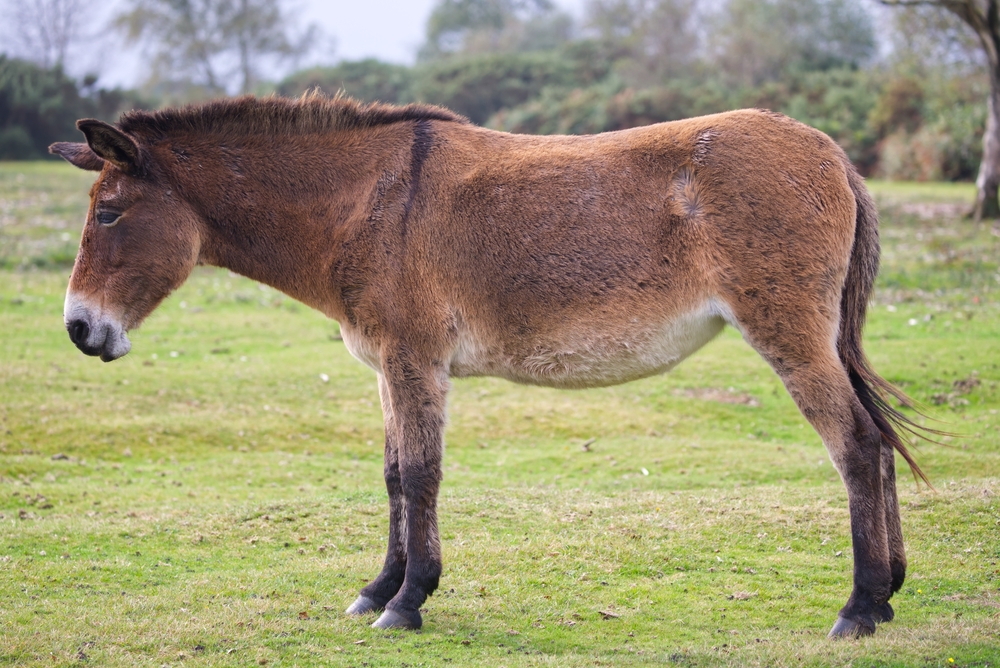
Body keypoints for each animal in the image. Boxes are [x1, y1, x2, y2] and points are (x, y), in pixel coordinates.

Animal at [50, 94, 928, 638]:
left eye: (110, 214)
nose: (79, 330)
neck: (364, 203)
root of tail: (831, 151)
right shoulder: (385, 368)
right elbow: (394, 477)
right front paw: (378, 590)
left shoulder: (415, 362)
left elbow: (423, 476)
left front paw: (408, 603)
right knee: (879, 445)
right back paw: (888, 597)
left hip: (789, 335)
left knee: (856, 446)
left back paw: (858, 608)